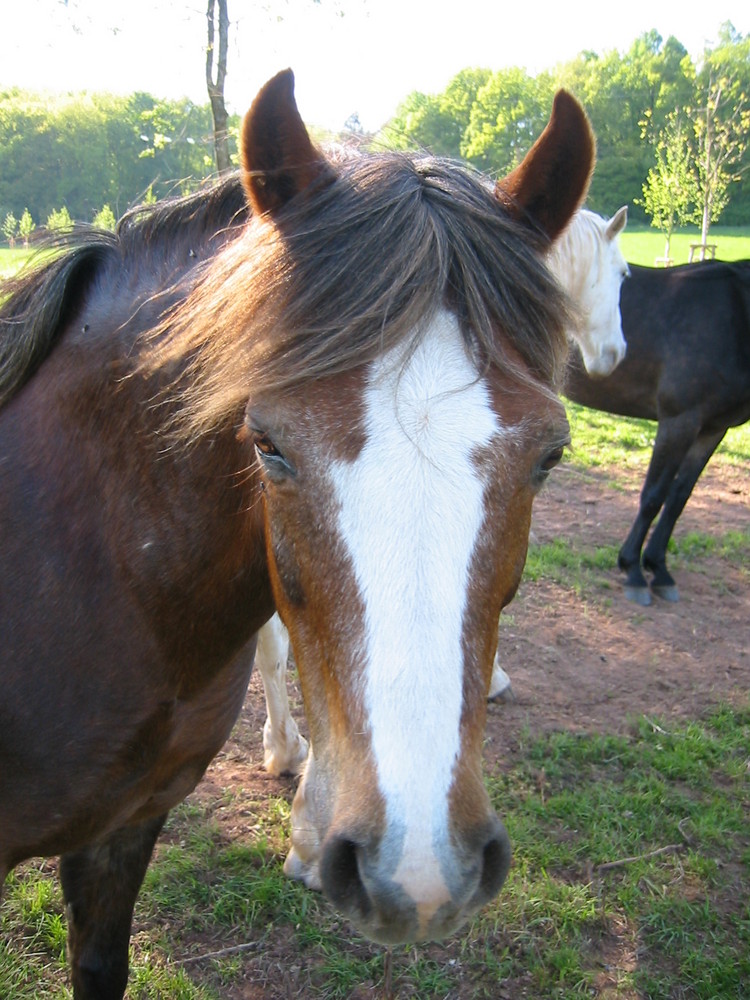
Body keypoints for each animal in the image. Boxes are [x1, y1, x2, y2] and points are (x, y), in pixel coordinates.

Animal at [568, 258, 750, 600]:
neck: (735, 312)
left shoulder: (712, 429)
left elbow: (679, 497)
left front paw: (659, 568)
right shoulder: (679, 421)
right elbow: (654, 495)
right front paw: (633, 569)